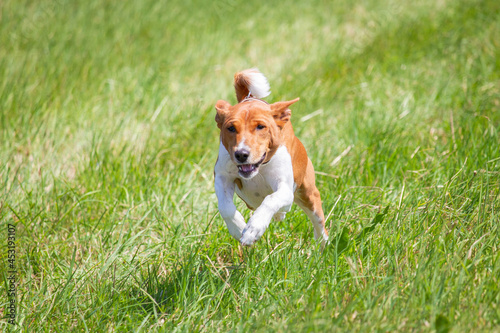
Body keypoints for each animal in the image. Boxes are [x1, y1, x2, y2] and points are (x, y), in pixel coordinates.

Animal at [214, 68, 328, 245]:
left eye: (261, 126)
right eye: (231, 128)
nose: (241, 154)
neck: (259, 170)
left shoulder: (285, 188)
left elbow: (270, 199)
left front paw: (253, 229)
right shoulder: (222, 176)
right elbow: (225, 207)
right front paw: (238, 229)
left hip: (308, 194)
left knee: (319, 224)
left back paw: (324, 246)